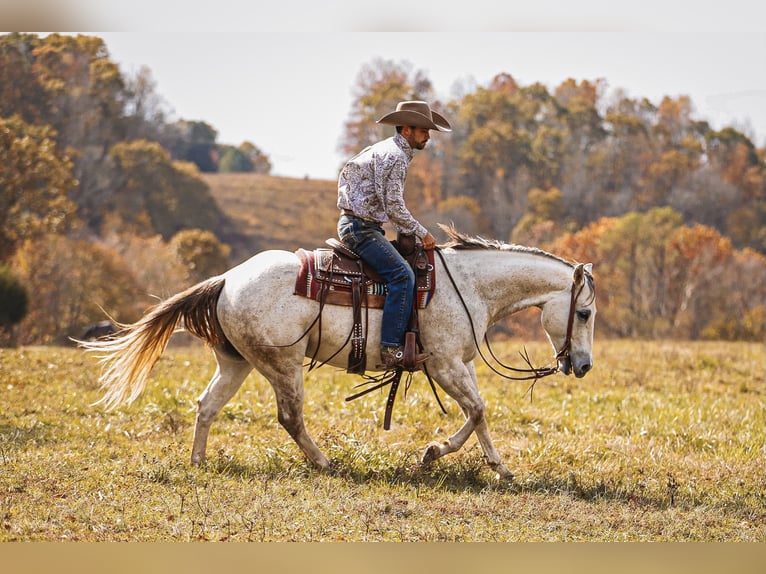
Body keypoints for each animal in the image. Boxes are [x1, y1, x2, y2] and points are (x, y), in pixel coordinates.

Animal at [81, 227, 596, 480]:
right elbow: (478, 410)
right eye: (585, 312)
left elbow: (477, 413)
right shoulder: (446, 364)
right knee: (290, 417)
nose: (584, 366)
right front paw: (456, 458)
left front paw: (468, 460)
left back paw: (198, 463)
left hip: (237, 363)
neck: (467, 285)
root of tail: (226, 279)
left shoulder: (460, 364)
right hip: (283, 365)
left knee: (207, 406)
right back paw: (325, 463)